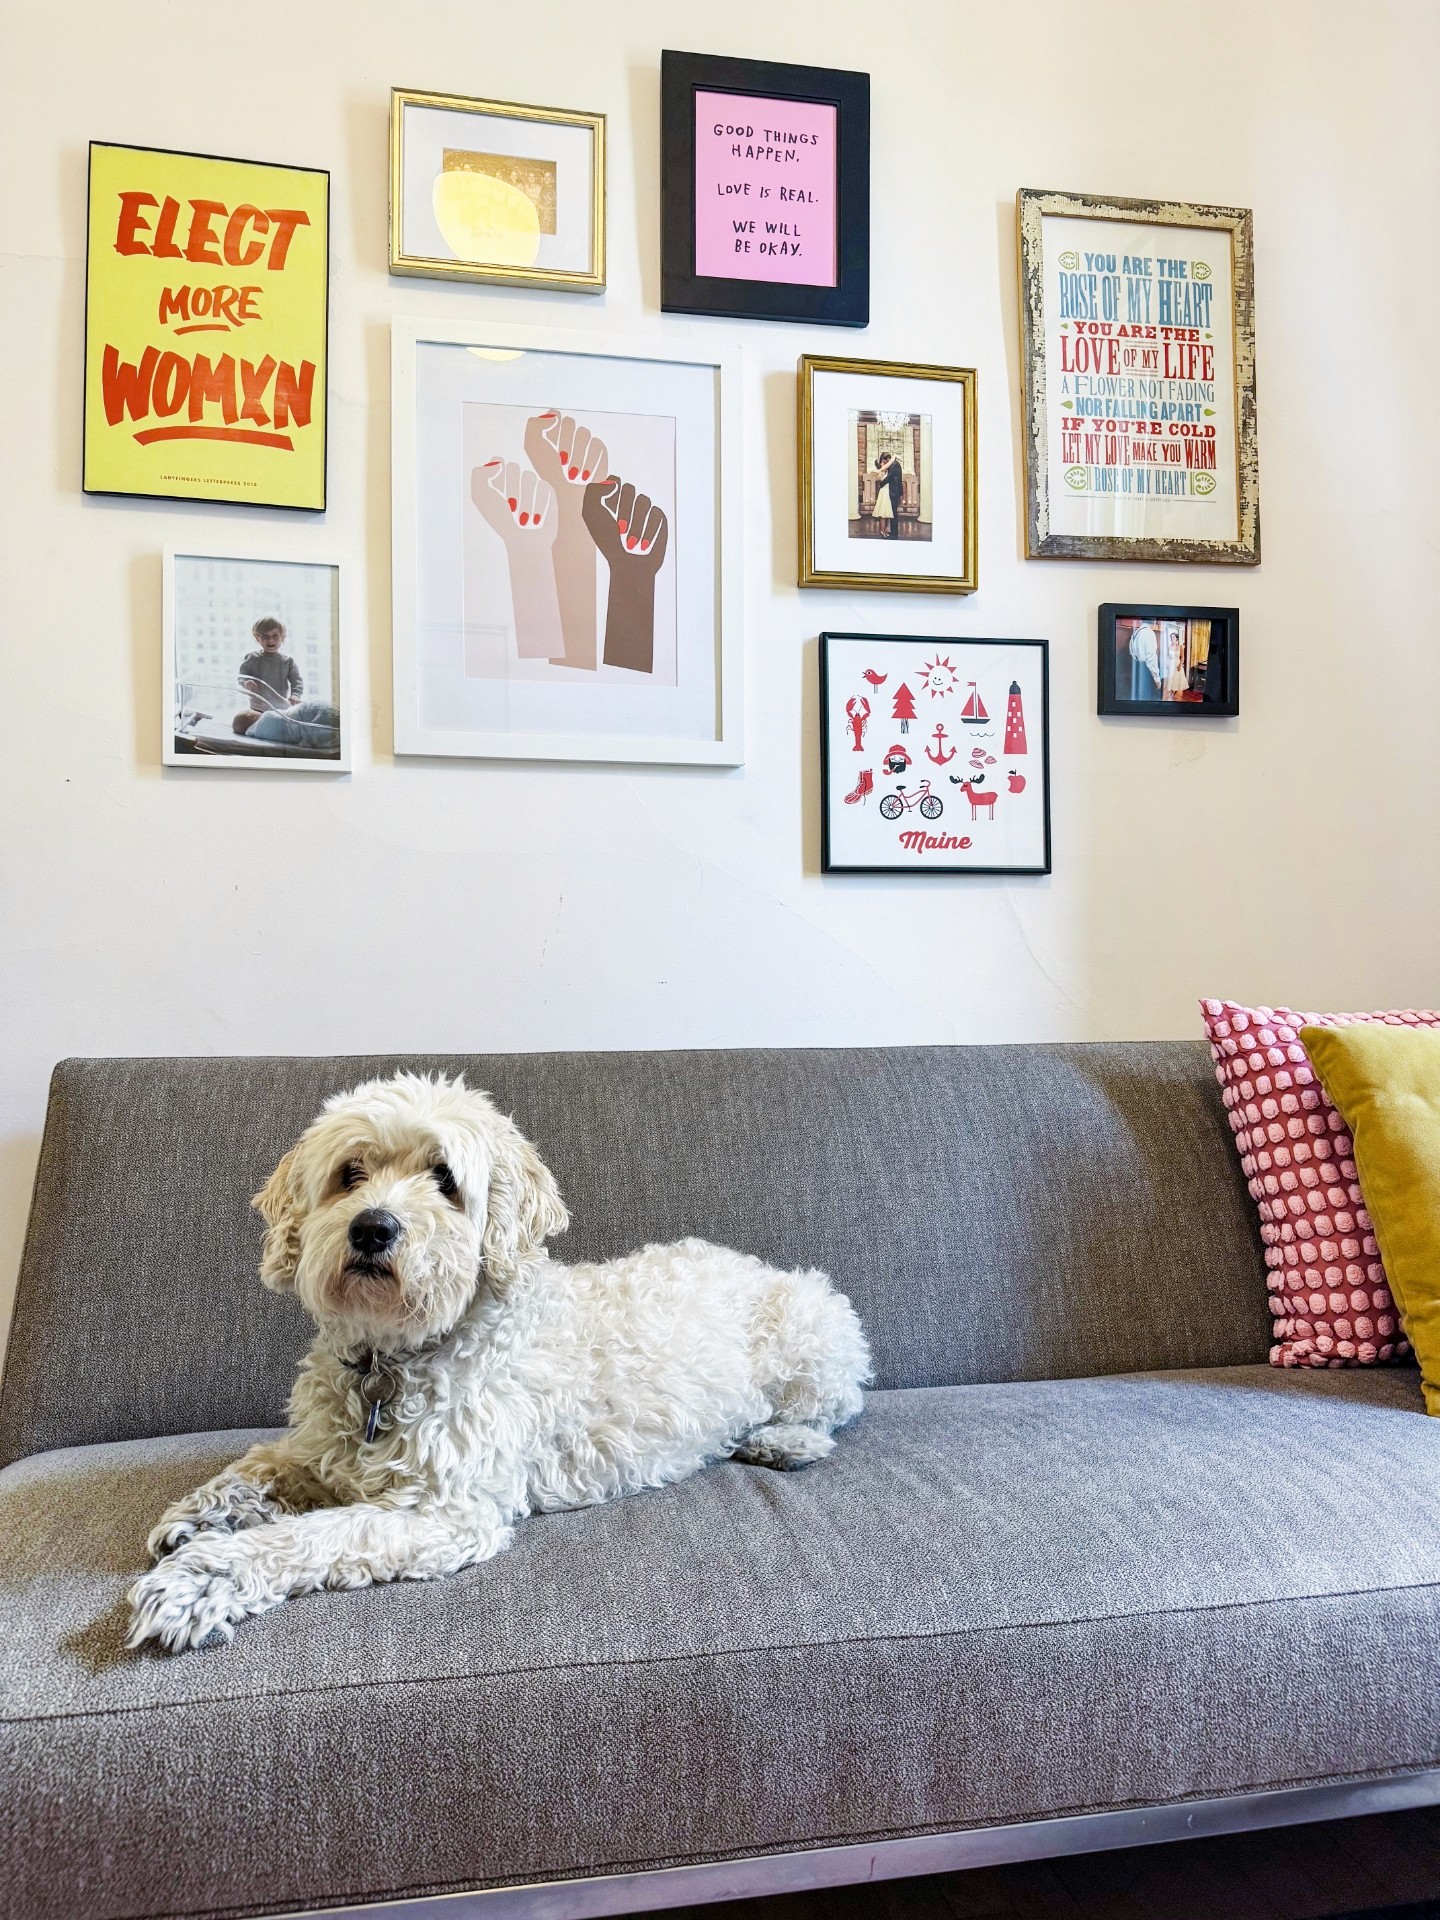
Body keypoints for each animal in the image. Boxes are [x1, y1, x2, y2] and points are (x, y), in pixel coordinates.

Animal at [126, 1067, 867, 1651]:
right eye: (351, 1174)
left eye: (444, 1179)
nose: (372, 1228)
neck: (396, 1360)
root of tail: (762, 1265)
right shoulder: (320, 1448)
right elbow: (261, 1464)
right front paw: (202, 1513)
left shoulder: (445, 1512)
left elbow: (317, 1535)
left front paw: (201, 1579)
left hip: (815, 1328)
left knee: (836, 1406)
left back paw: (784, 1441)